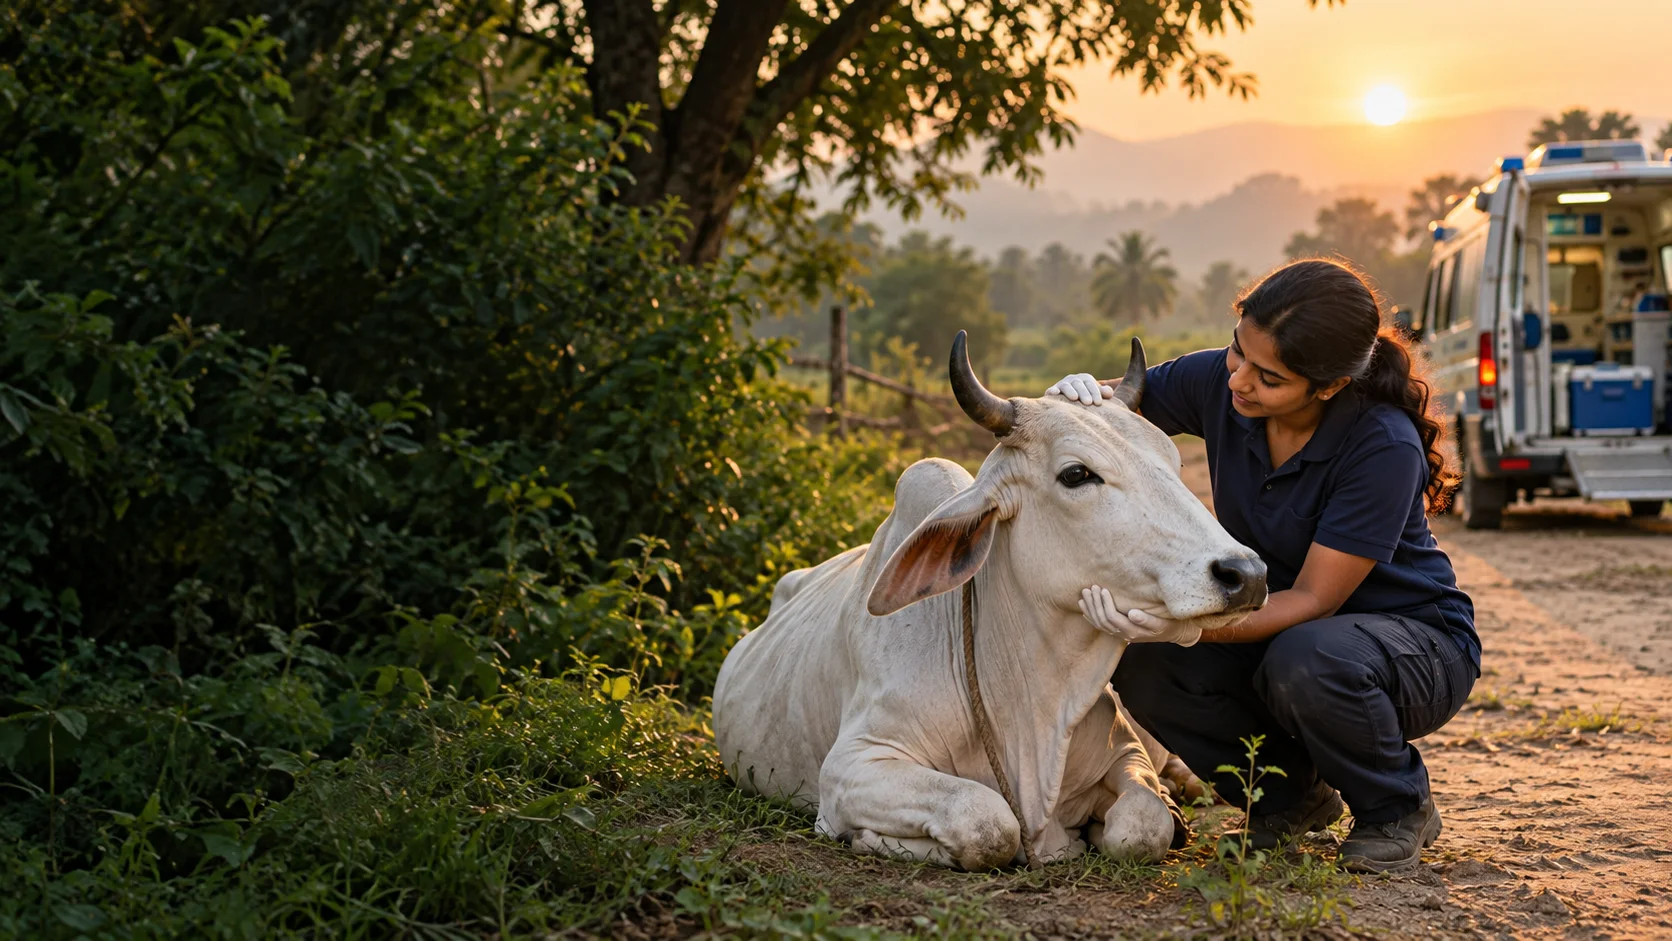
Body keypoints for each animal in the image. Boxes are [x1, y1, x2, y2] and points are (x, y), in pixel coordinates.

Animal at [711, 333, 1267, 870]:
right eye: (1076, 474)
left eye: (1174, 462)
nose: (1246, 574)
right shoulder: (854, 765)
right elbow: (986, 822)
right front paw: (867, 838)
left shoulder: (1126, 754)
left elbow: (1143, 825)